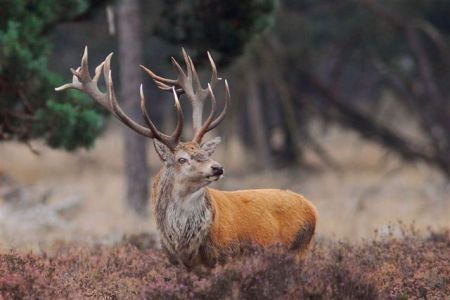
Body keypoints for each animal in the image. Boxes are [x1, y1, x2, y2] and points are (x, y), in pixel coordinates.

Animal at [55, 47, 316, 270]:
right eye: (182, 159)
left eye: (206, 153)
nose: (217, 167)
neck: (187, 247)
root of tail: (312, 209)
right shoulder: (176, 263)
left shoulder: (229, 257)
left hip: (299, 251)